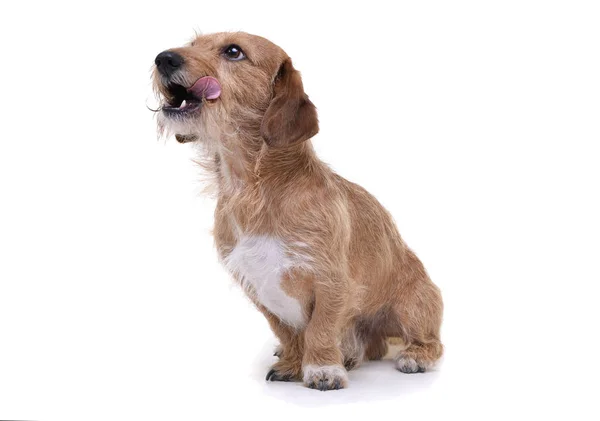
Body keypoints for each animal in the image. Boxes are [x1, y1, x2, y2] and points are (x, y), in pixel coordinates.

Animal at [154, 32, 446, 390]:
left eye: (234, 51)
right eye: (193, 44)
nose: (163, 58)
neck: (253, 188)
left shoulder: (332, 281)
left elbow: (321, 327)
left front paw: (322, 368)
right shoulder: (258, 286)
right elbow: (287, 331)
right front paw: (294, 362)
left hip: (412, 306)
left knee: (429, 341)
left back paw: (412, 355)